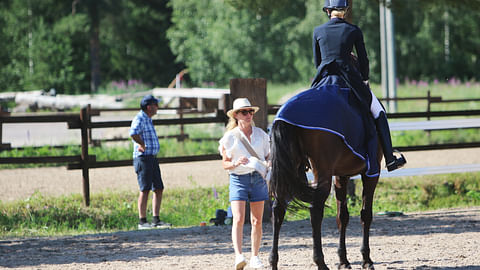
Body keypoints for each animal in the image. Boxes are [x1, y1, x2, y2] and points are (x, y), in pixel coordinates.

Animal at [268, 119, 380, 268]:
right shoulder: (371, 174)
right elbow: (366, 215)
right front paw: (366, 259)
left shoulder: (341, 175)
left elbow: (342, 216)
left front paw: (343, 260)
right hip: (322, 174)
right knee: (315, 212)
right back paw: (320, 262)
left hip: (288, 173)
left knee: (278, 210)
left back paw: (273, 262)